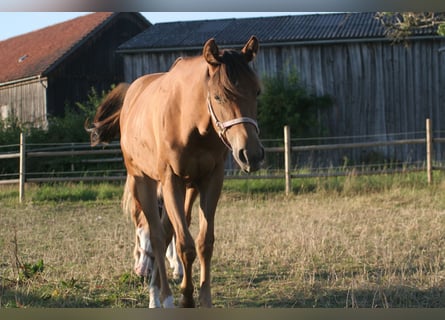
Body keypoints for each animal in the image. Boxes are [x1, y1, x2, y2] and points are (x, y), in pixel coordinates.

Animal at [86, 35, 264, 308]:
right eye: (219, 96)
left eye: (256, 92)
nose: (251, 155)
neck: (189, 122)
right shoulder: (171, 181)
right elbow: (184, 244)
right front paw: (185, 298)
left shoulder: (210, 180)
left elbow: (204, 243)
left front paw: (204, 300)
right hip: (144, 181)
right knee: (157, 236)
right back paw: (160, 298)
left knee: (166, 231)